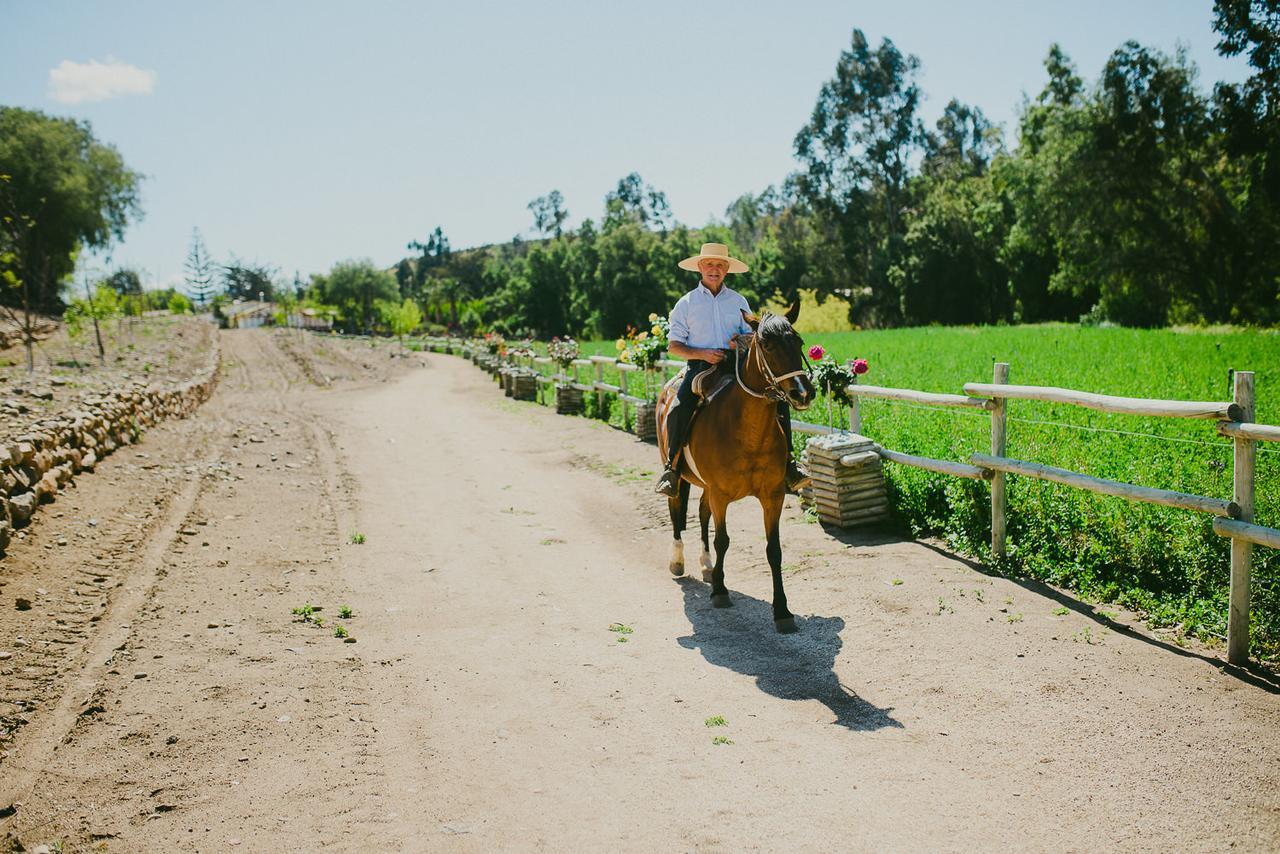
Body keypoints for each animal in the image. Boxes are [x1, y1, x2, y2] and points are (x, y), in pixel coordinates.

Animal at [655, 307, 814, 635]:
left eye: (799, 341)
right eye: (766, 345)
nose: (803, 393)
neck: (746, 430)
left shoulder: (772, 496)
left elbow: (774, 550)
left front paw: (782, 611)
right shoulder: (721, 494)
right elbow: (723, 541)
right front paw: (720, 591)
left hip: (707, 487)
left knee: (701, 513)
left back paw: (706, 565)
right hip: (676, 470)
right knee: (675, 509)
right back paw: (678, 560)